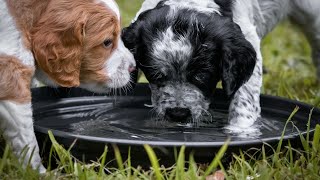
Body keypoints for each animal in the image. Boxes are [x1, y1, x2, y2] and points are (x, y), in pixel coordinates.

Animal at [122, 0, 320, 131]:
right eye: (156, 75)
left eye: (202, 76)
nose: (178, 114)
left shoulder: (249, 38)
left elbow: (244, 99)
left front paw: (240, 130)